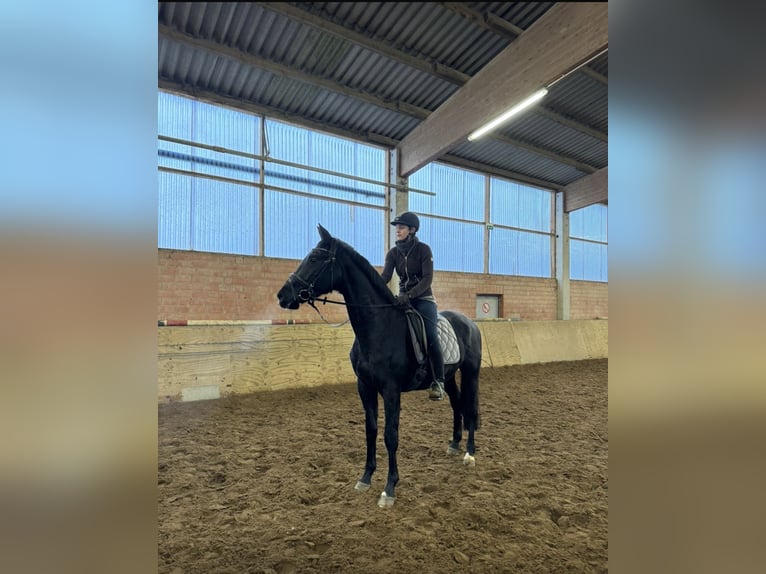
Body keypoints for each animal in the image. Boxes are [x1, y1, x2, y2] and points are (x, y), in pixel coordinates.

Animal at [277, 224, 482, 508]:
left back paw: (469, 454)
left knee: (470, 408)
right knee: (456, 404)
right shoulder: (365, 387)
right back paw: (453, 444)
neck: (378, 326)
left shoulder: (391, 390)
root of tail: (470, 322)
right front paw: (365, 478)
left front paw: (389, 489)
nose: (283, 295)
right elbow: (371, 430)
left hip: (471, 372)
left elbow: (390, 435)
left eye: (315, 258)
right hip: (449, 377)